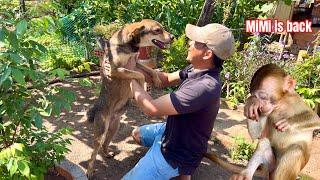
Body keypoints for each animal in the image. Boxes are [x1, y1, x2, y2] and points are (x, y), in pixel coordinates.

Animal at [86, 19, 174, 178]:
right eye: (157, 30)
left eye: (162, 28)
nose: (173, 37)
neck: (129, 44)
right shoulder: (116, 70)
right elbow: (139, 75)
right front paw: (142, 84)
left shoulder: (137, 62)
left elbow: (150, 70)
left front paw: (157, 80)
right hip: (101, 132)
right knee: (93, 153)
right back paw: (89, 171)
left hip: (114, 128)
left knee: (104, 145)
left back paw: (107, 154)